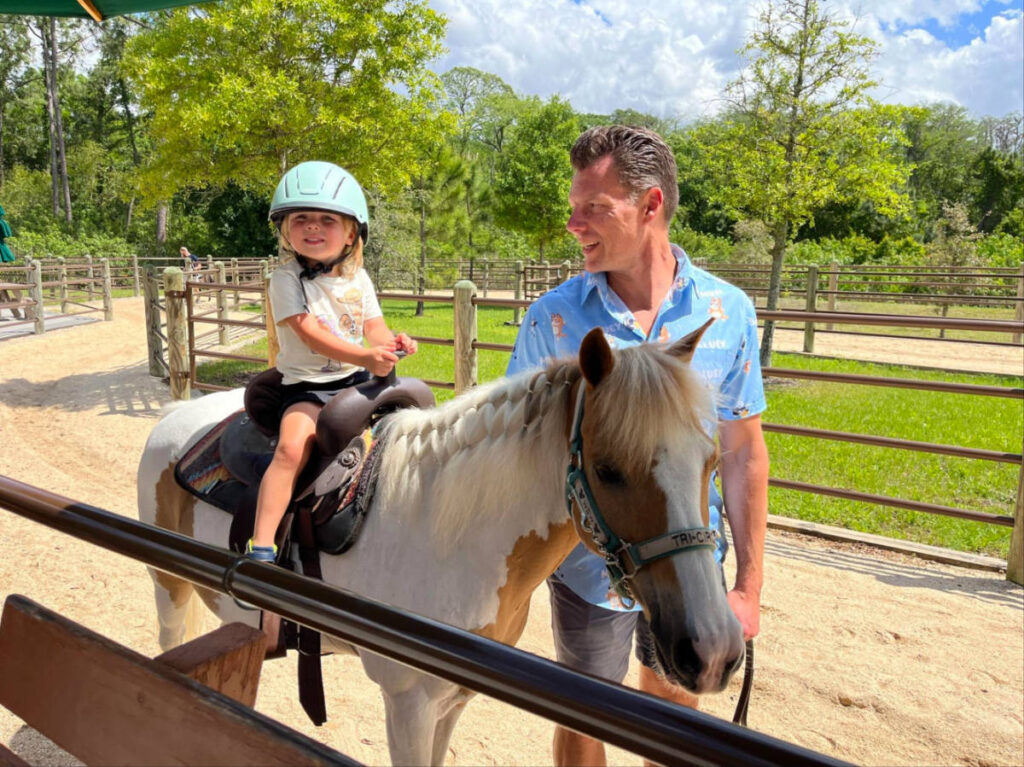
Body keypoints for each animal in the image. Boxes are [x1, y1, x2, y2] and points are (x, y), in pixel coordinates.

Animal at [137, 322, 746, 766]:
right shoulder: (407, 703)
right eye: (608, 470)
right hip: (169, 585)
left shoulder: (453, 697)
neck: (448, 535)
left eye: (713, 460)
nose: (713, 650)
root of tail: (177, 413)